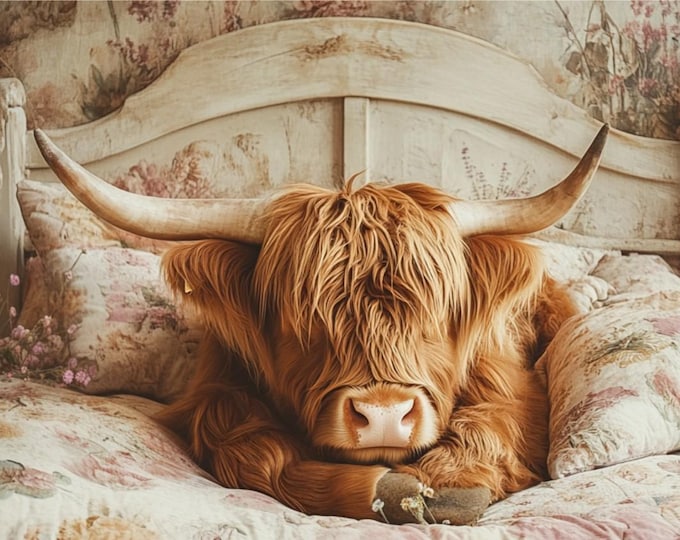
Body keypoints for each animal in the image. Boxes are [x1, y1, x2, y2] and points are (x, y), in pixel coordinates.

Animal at [35, 125, 608, 525]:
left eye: (434, 316)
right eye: (300, 323)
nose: (383, 415)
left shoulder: (516, 391)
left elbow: (491, 426)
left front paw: (447, 485)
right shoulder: (216, 395)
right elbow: (251, 450)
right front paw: (390, 490)